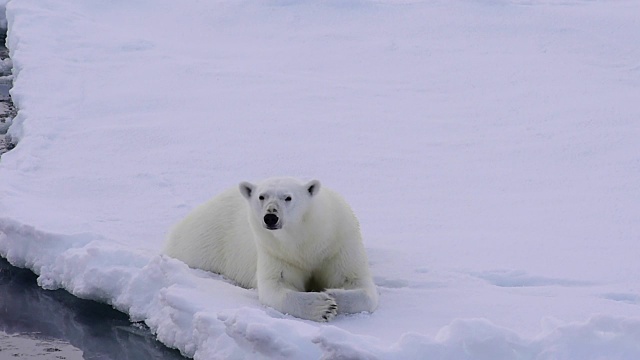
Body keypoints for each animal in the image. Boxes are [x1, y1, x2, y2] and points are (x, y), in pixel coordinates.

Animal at [162, 177, 378, 320]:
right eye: (261, 196)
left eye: (288, 197)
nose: (271, 217)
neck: (307, 242)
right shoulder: (276, 252)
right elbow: (277, 285)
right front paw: (323, 306)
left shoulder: (338, 244)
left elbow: (357, 283)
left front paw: (333, 295)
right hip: (203, 243)